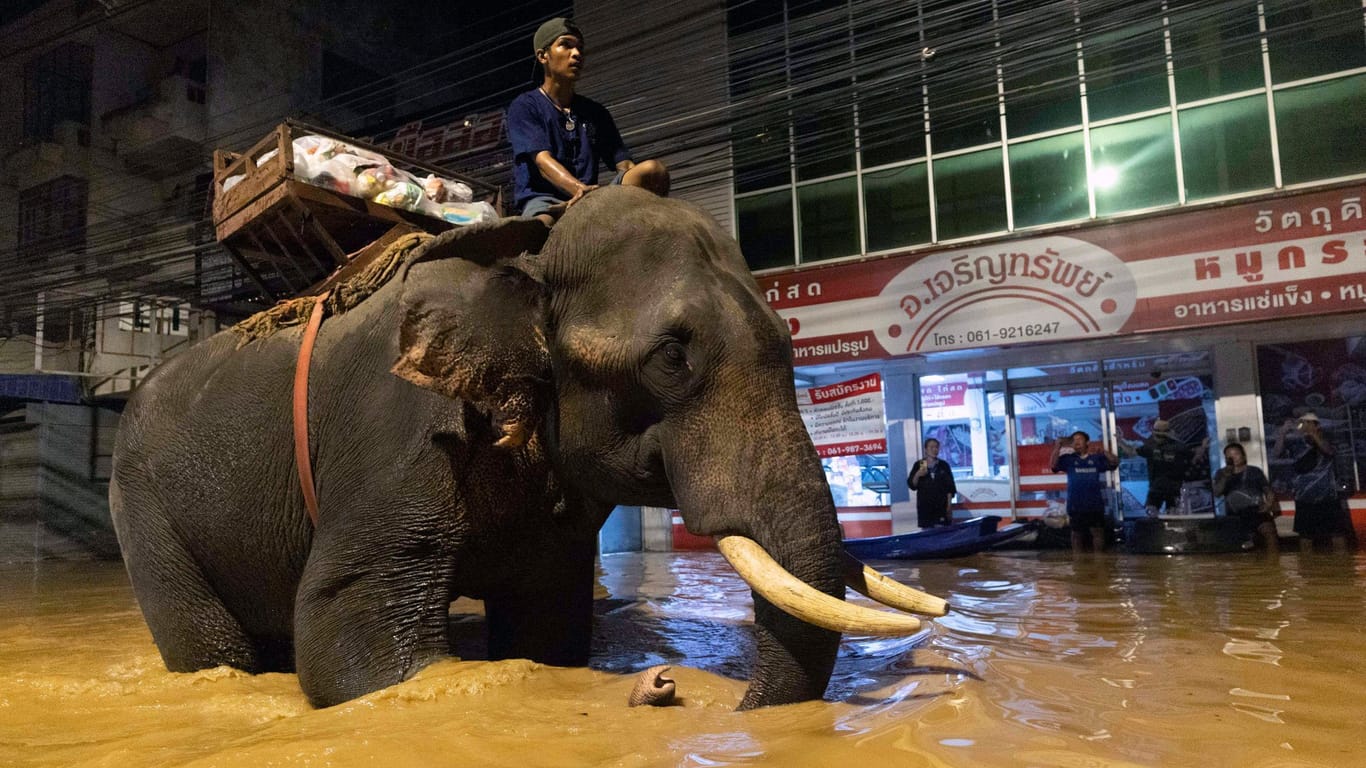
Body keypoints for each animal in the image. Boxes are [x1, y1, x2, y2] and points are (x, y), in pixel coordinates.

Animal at [109, 184, 950, 705]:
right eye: (670, 357)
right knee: (211, 647)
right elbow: (353, 645)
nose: (681, 692)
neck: (531, 250)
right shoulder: (400, 434)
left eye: (788, 339)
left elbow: (547, 627)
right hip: (142, 508)